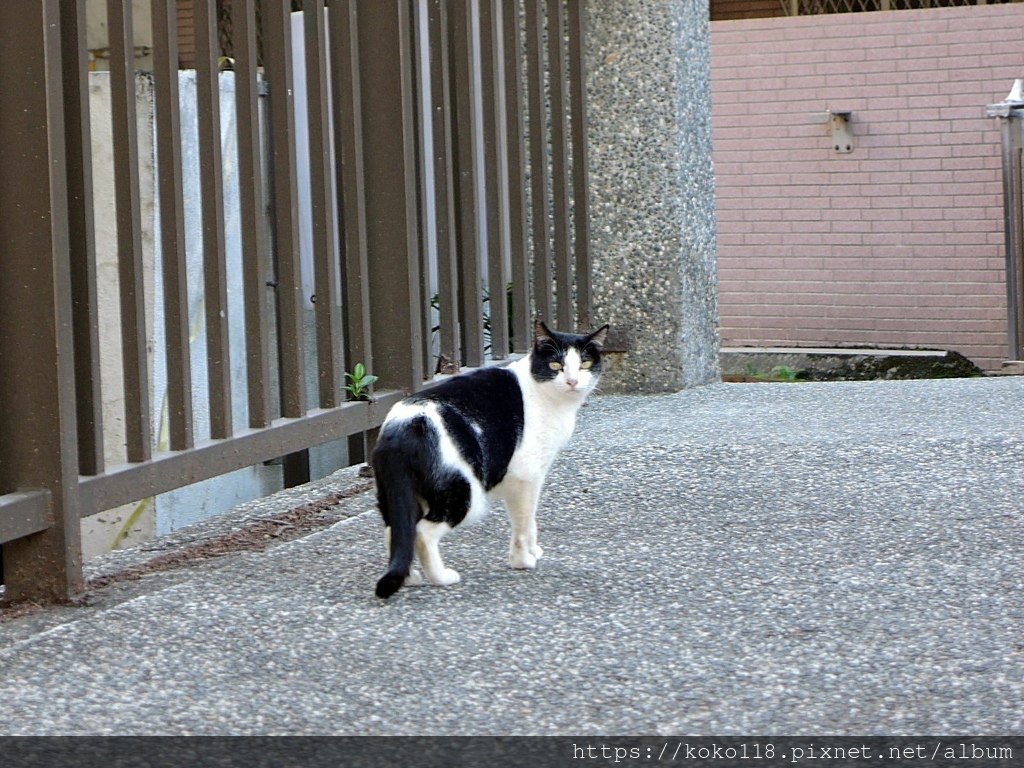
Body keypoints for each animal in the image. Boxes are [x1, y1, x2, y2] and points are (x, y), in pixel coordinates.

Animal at [372, 321, 606, 598]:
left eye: (585, 364)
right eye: (555, 365)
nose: (572, 381)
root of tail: (405, 426)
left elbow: (531, 521)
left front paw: (533, 551)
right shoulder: (527, 477)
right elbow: (523, 524)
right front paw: (523, 561)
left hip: (396, 493)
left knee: (396, 529)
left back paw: (409, 578)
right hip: (463, 493)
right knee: (422, 533)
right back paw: (441, 577)